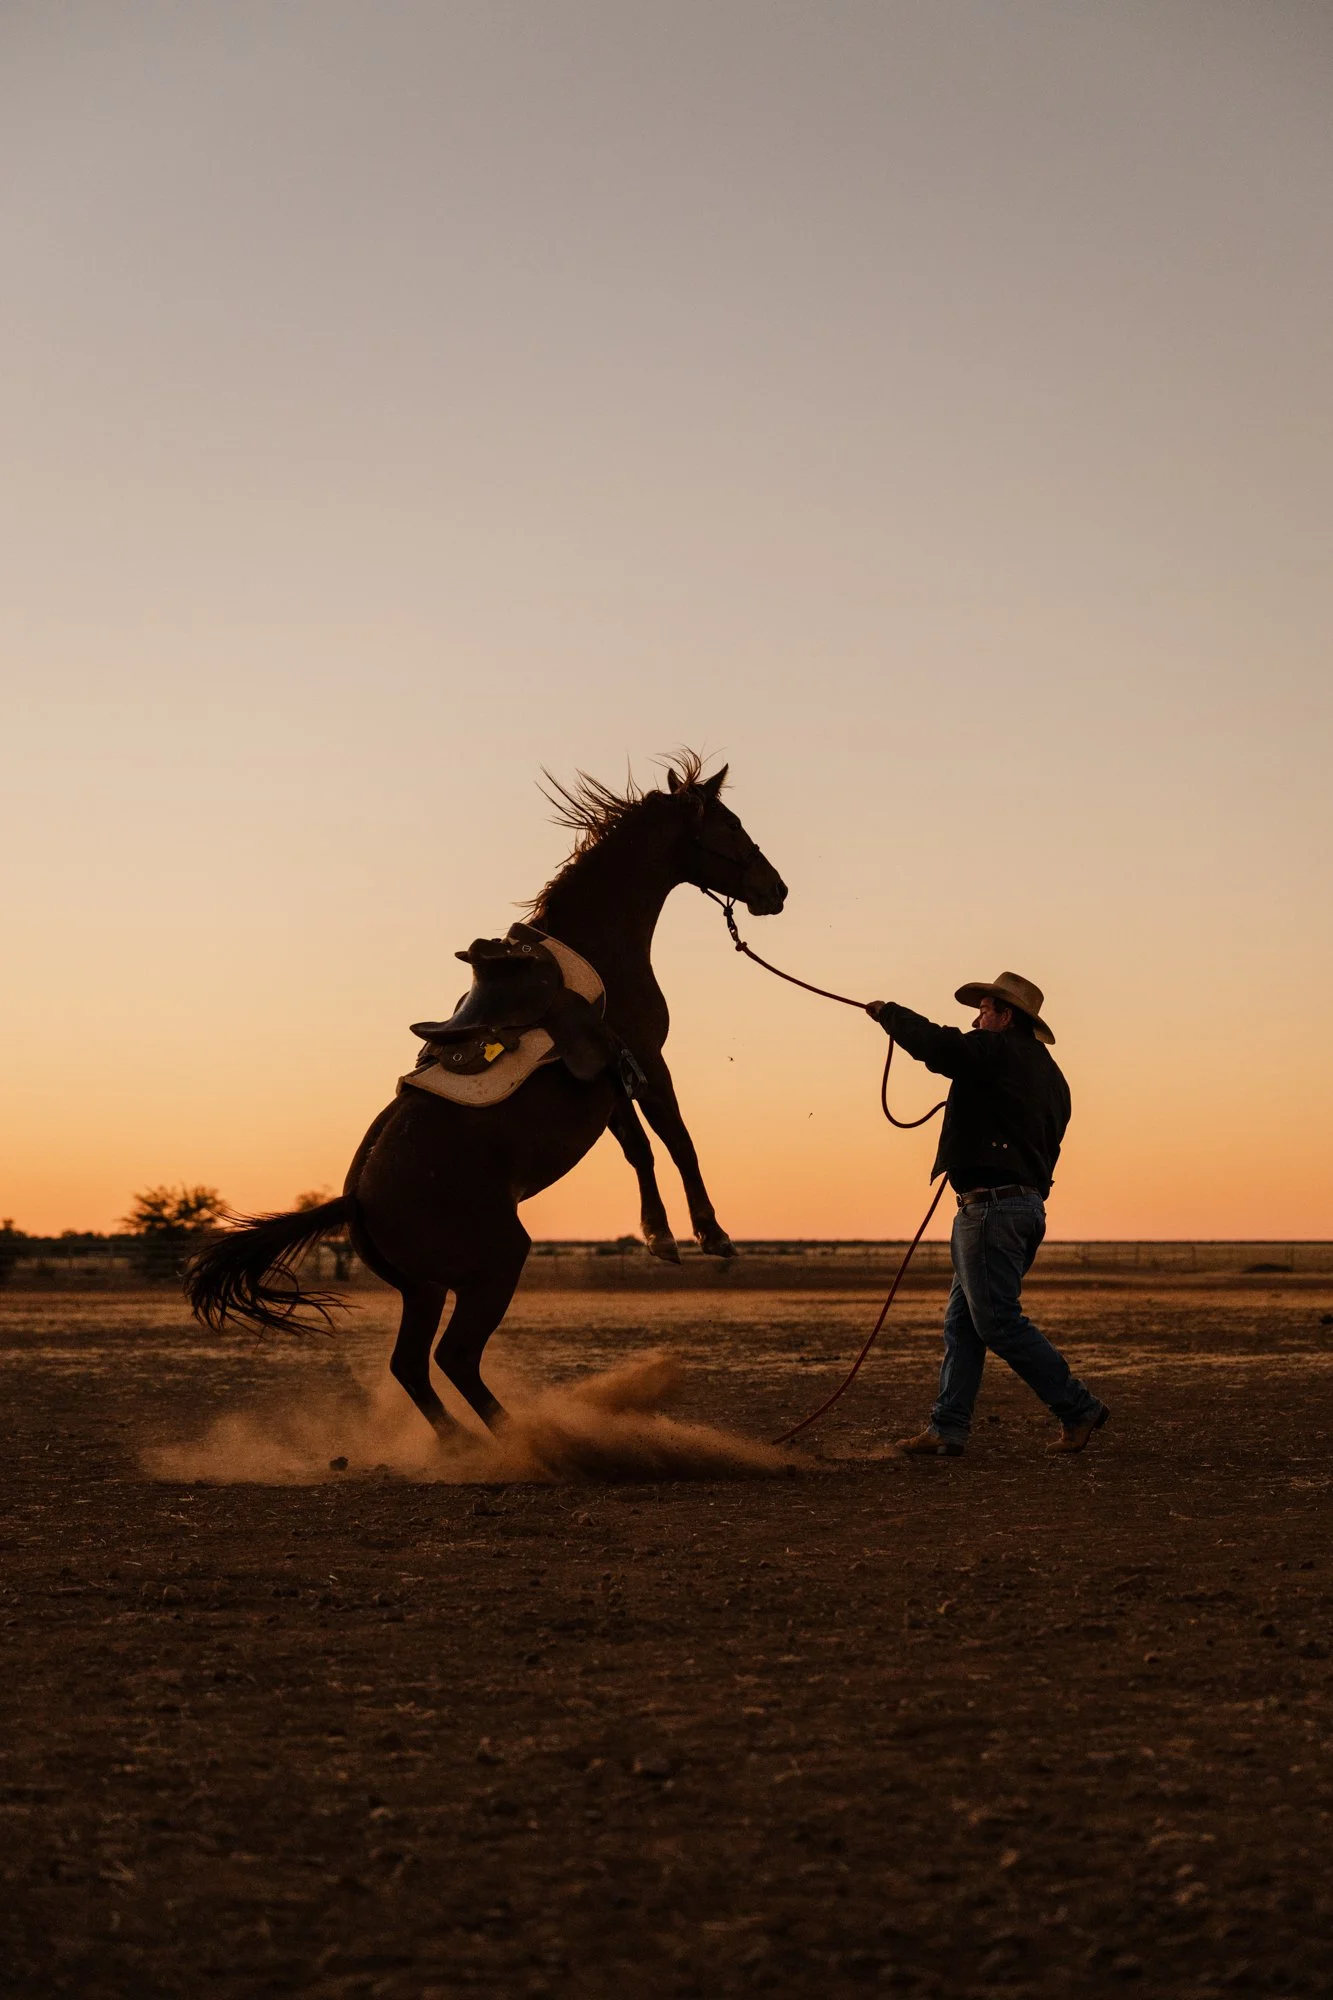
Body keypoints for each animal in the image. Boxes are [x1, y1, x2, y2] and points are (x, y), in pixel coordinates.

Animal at [185, 754, 788, 1434]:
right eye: (731, 824)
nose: (777, 889)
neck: (597, 949)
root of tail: (355, 1201)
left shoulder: (609, 1084)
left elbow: (640, 1150)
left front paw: (660, 1237)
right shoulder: (647, 1063)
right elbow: (677, 1142)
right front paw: (712, 1236)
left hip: (423, 1289)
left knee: (412, 1366)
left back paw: (466, 1444)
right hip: (495, 1266)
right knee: (455, 1357)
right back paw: (523, 1439)